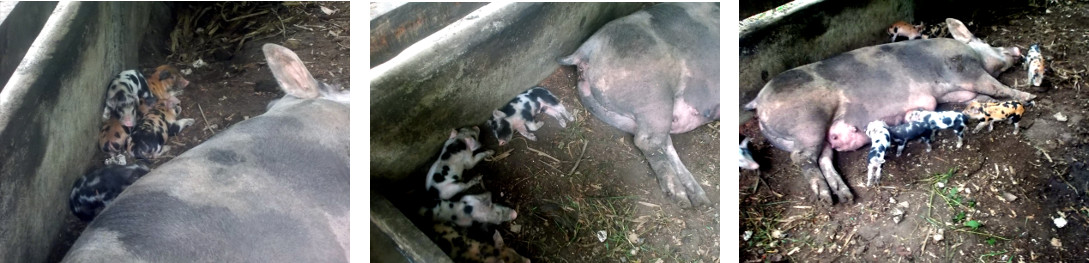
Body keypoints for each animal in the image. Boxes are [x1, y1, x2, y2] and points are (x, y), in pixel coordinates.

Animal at [557, 2, 718, 207]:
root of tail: (585, 50)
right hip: (654, 96)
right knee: (647, 141)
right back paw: (683, 199)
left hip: (611, 111)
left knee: (661, 142)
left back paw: (700, 200)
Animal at [744, 18, 1032, 205]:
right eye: (987, 42)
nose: (1017, 49)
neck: (974, 54)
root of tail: (757, 100)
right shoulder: (966, 70)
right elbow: (996, 87)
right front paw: (1029, 96)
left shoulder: (958, 92)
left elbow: (982, 97)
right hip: (808, 123)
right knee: (802, 158)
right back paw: (826, 200)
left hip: (821, 134)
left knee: (824, 158)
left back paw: (845, 197)